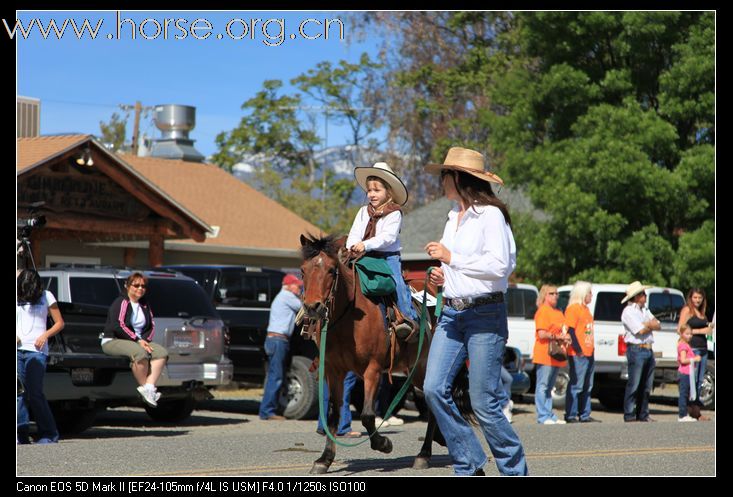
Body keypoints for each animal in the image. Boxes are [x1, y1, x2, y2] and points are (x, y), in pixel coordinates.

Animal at [298, 234, 466, 474]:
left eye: (331, 270)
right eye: (303, 271)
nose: (313, 307)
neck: (349, 318)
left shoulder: (373, 369)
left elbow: (368, 415)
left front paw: (383, 444)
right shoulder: (333, 370)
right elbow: (333, 414)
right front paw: (324, 459)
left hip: (425, 367)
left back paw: (424, 454)